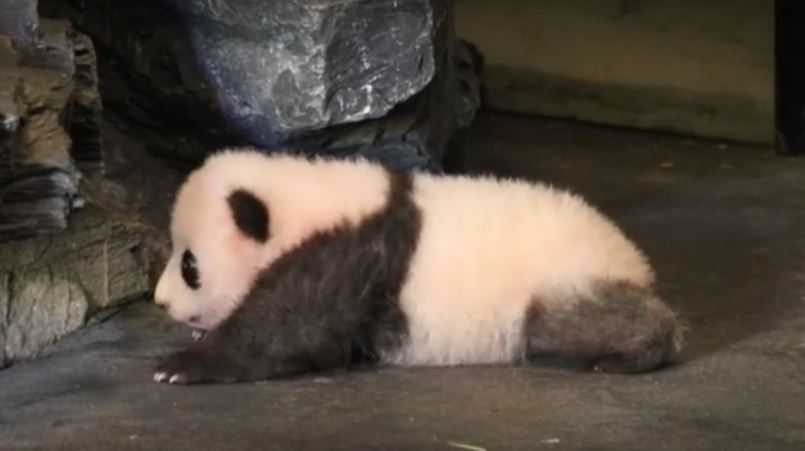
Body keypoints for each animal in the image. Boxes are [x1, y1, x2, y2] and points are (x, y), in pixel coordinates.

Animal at [152, 147, 684, 384]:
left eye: (190, 266)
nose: (160, 303)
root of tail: (636, 261)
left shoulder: (350, 256)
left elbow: (287, 328)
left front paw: (184, 365)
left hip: (567, 277)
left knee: (571, 319)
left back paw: (624, 354)